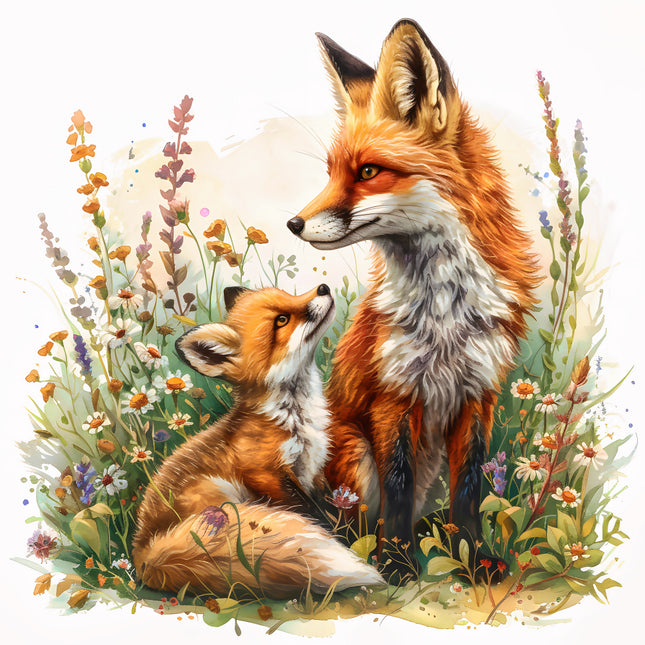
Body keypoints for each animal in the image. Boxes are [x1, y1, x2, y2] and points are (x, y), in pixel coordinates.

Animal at [131, 284, 384, 598]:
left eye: (289, 295)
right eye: (282, 320)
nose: (323, 288)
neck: (295, 418)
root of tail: (143, 553)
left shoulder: (312, 469)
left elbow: (327, 505)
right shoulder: (266, 475)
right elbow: (312, 513)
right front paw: (339, 537)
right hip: (221, 495)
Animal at [287, 20, 539, 576]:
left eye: (367, 172)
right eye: (330, 172)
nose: (293, 223)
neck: (445, 307)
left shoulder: (478, 394)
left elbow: (469, 491)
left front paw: (472, 558)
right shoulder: (395, 395)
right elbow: (397, 489)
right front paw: (397, 566)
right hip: (354, 456)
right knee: (350, 525)